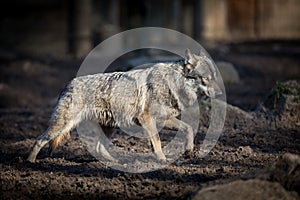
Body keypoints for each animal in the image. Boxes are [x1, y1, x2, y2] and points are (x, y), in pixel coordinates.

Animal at [27, 49, 221, 162]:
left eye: (215, 78)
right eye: (206, 79)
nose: (220, 94)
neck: (172, 84)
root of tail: (68, 83)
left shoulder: (163, 120)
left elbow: (188, 129)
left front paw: (188, 151)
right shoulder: (147, 119)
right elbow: (158, 141)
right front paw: (162, 160)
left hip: (108, 128)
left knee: (99, 148)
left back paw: (115, 163)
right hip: (62, 126)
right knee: (39, 139)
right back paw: (29, 162)